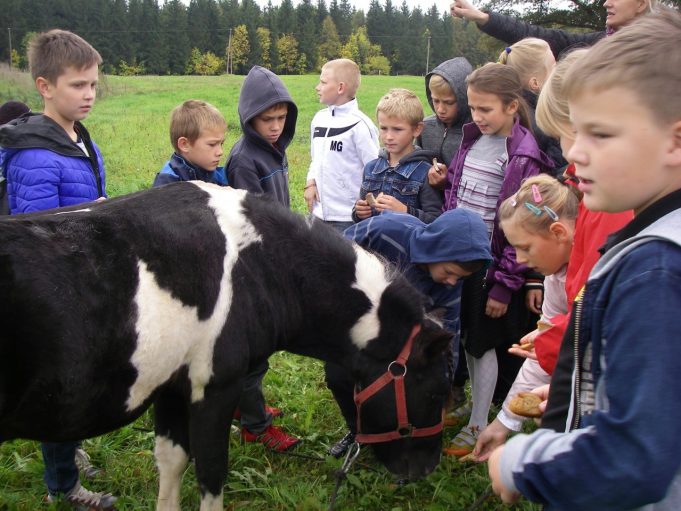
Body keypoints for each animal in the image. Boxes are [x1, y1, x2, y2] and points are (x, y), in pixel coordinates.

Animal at [0, 184, 452, 511]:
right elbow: (211, 471)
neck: (258, 264)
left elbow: (172, 462)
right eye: (436, 392)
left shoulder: (172, 385)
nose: (427, 468)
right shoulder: (216, 385)